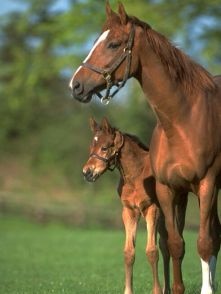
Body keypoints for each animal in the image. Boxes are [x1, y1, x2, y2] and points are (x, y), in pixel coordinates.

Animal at [83, 117, 171, 294]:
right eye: (91, 147)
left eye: (104, 147)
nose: (86, 172)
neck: (136, 176)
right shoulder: (129, 211)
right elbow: (129, 252)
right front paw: (128, 290)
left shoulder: (152, 209)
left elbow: (152, 251)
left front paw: (157, 291)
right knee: (165, 246)